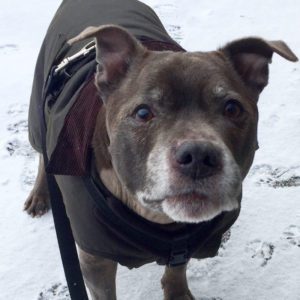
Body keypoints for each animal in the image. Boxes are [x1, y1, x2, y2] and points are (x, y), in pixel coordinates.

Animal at [24, 0, 298, 300]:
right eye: (143, 113)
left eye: (232, 108)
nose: (198, 157)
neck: (159, 220)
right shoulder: (95, 261)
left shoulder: (185, 244)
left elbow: (177, 268)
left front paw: (177, 292)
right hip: (37, 112)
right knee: (42, 154)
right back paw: (39, 195)